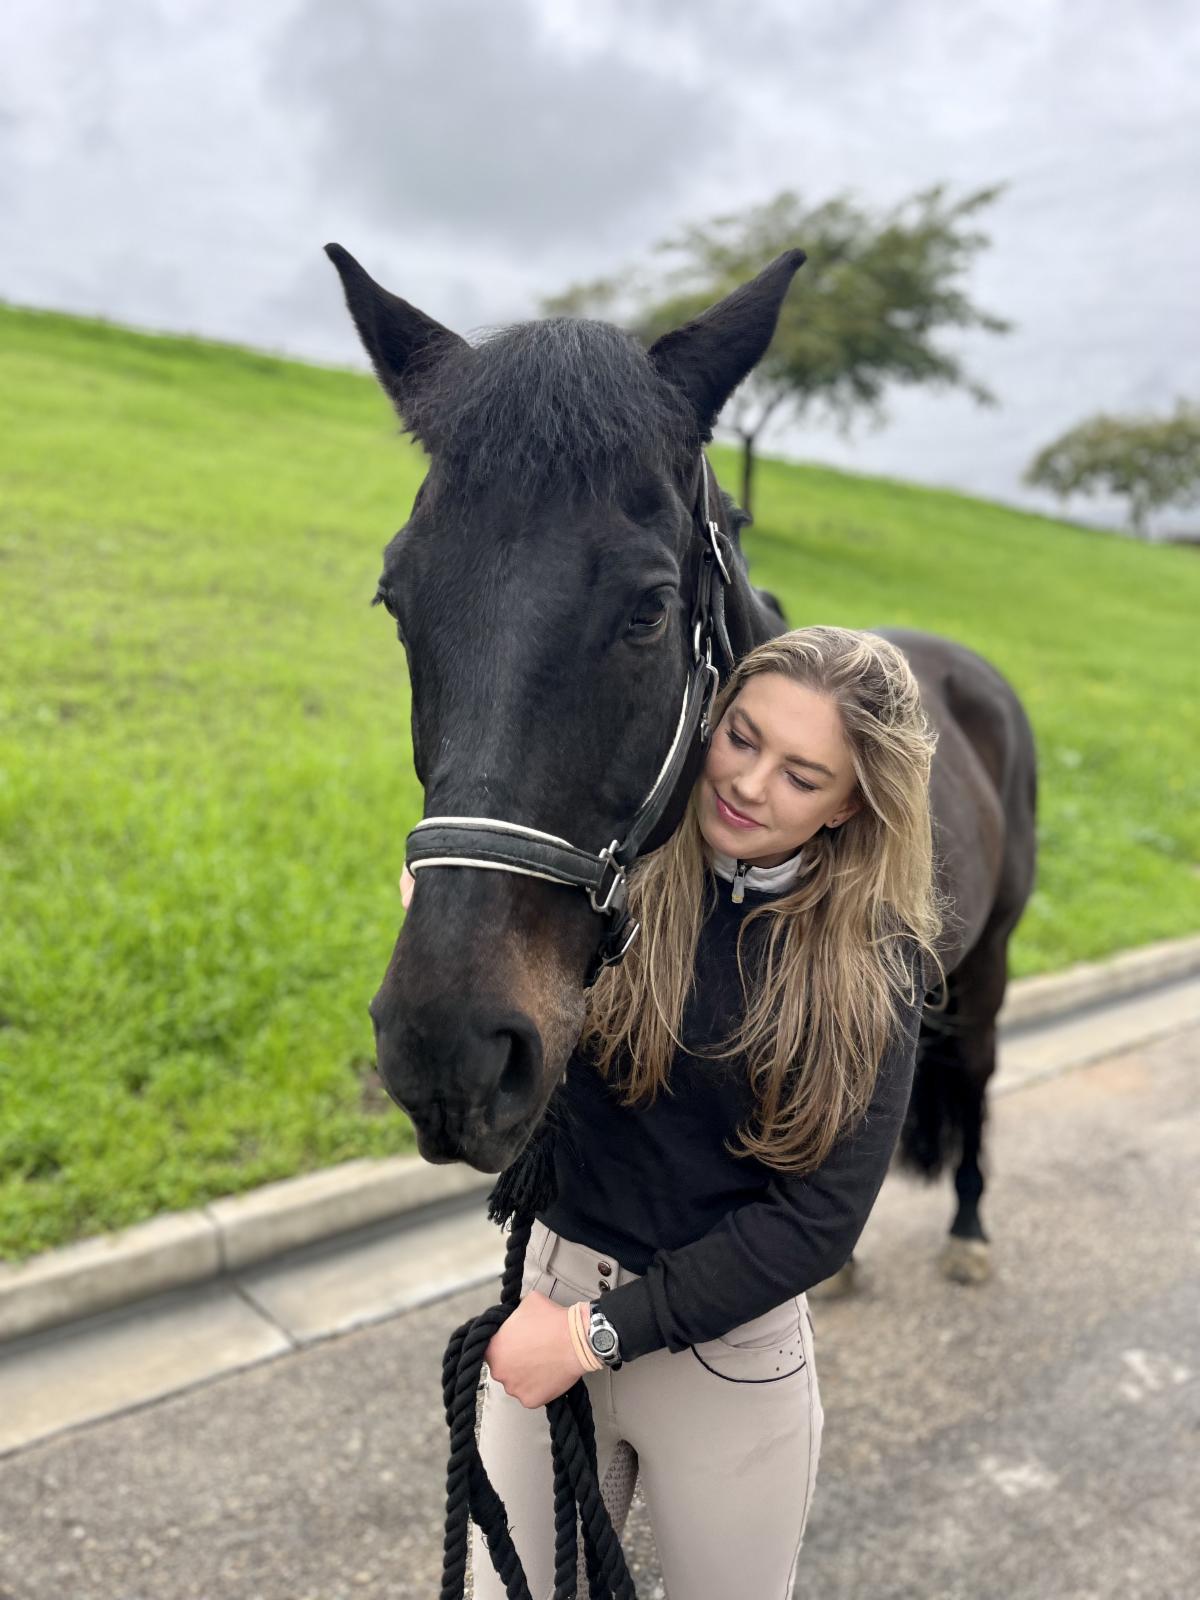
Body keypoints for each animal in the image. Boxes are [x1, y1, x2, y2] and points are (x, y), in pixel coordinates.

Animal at [327, 243, 1037, 1286]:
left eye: (650, 608)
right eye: (394, 598)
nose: (445, 1048)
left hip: (989, 960)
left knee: (978, 1070)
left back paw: (973, 1229)